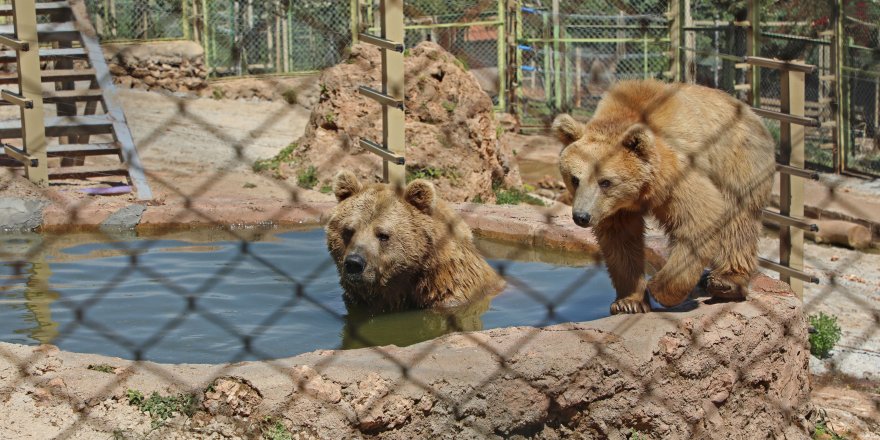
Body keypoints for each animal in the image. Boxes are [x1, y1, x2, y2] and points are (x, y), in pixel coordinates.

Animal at [556, 79, 776, 312]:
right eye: (575, 179)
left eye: (605, 181)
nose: (581, 216)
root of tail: (752, 113)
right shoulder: (615, 208)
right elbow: (621, 242)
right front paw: (629, 302)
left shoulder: (676, 175)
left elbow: (699, 216)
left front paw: (658, 287)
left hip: (737, 160)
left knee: (738, 219)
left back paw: (725, 282)